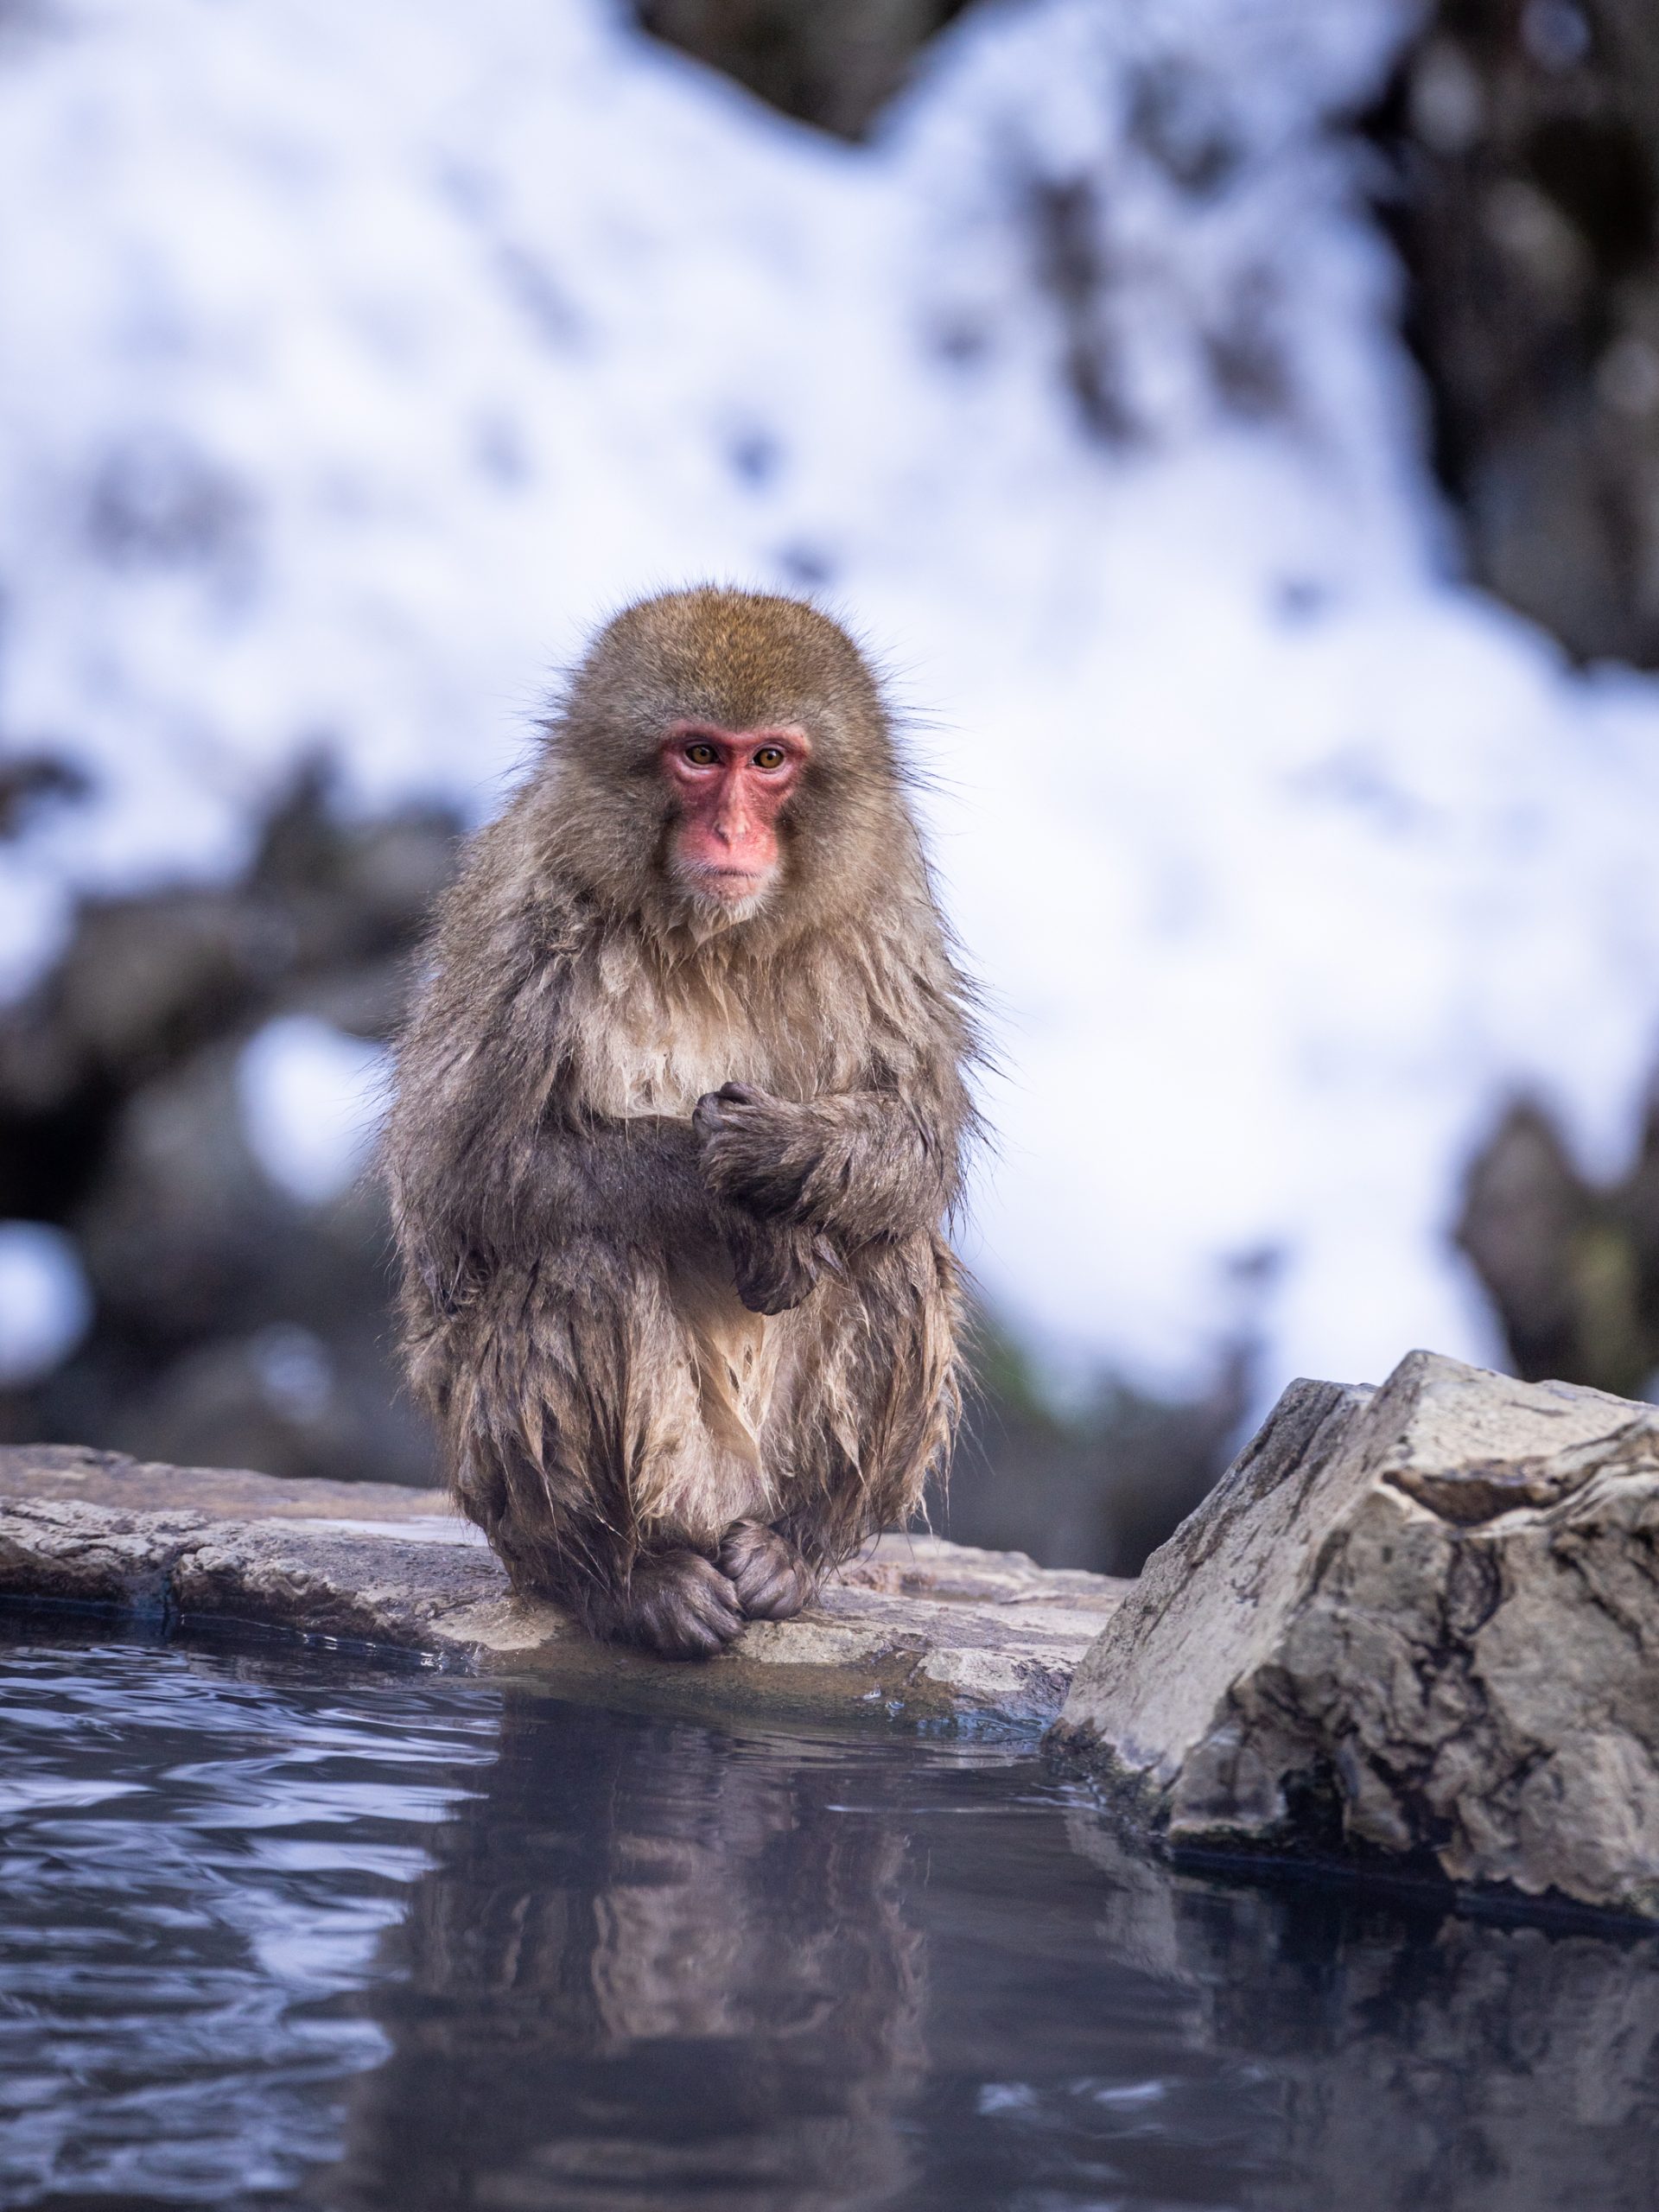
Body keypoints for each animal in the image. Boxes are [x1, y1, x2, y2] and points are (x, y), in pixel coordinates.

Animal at [383, 586, 979, 1659]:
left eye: (770, 759)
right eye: (700, 755)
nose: (734, 829)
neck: (717, 941)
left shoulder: (887, 914)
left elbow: (916, 1139)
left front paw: (788, 1154)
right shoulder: (526, 919)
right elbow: (461, 1172)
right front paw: (724, 1198)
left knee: (888, 1243)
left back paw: (795, 1547)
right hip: (532, 1485)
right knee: (583, 1259)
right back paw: (626, 1578)